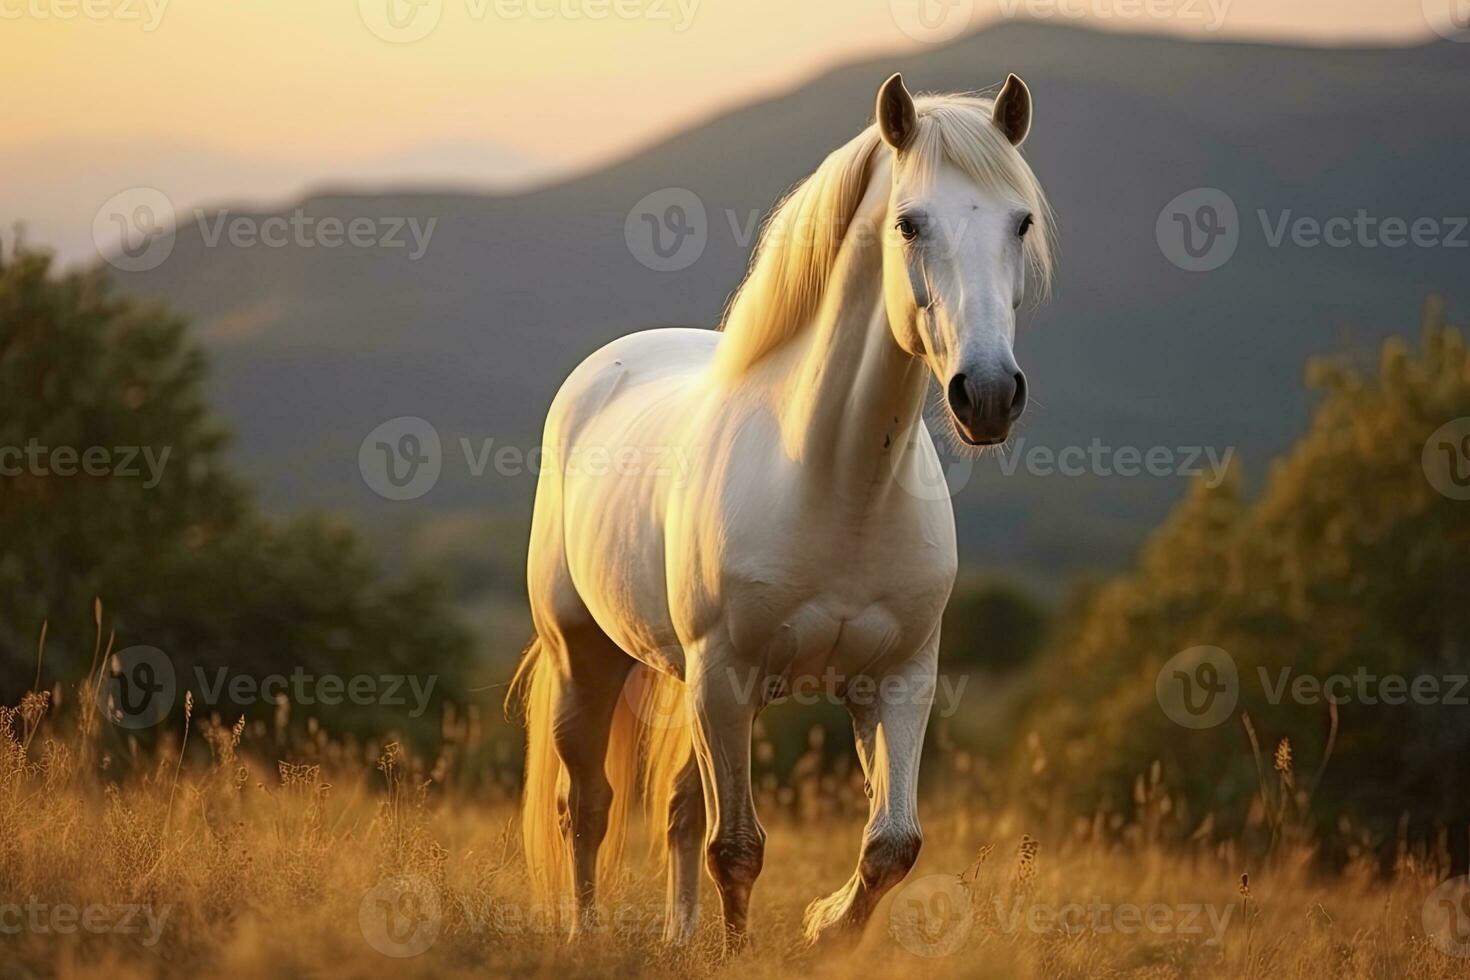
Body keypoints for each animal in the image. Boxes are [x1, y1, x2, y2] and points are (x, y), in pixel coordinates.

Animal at [511, 72, 1052, 952]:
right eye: (910, 222)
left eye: (1021, 220)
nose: (989, 393)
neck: (838, 484)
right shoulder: (725, 678)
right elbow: (737, 849)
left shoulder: (896, 680)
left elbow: (891, 845)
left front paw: (827, 927)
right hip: (586, 660)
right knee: (586, 808)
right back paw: (584, 939)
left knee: (675, 810)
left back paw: (679, 942)